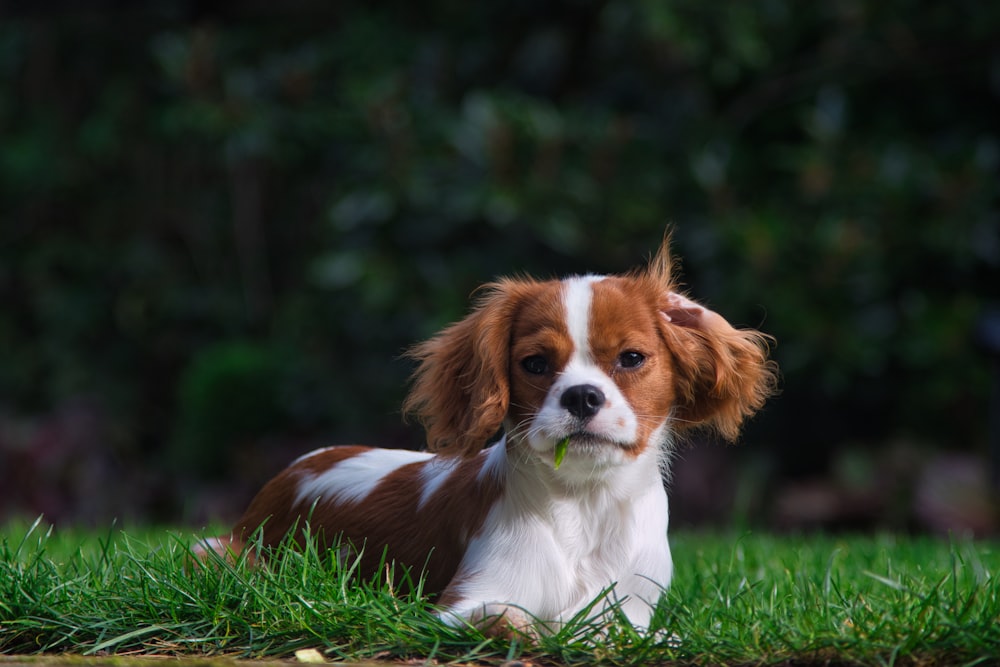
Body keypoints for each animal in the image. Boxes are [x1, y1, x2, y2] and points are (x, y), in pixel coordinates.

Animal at [199, 237, 776, 636]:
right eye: (535, 363)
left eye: (631, 358)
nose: (582, 397)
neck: (584, 502)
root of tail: (293, 469)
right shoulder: (461, 607)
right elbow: (525, 622)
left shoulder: (634, 608)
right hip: (224, 554)